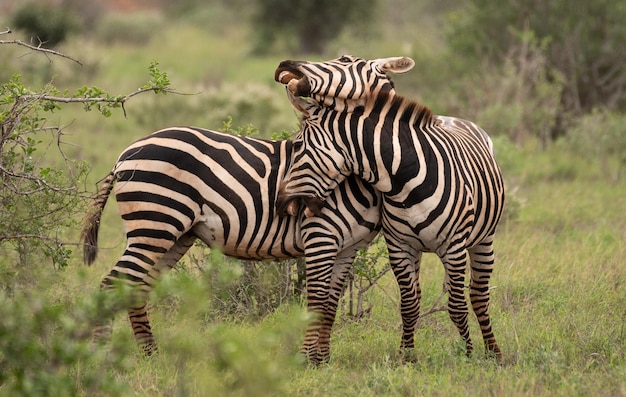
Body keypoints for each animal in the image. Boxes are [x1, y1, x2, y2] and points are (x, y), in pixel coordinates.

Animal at [80, 125, 378, 364]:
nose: (293, 202)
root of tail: (125, 154)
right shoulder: (321, 234)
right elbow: (318, 301)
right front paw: (308, 362)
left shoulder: (348, 248)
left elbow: (330, 305)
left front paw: (322, 361)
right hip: (155, 223)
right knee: (111, 284)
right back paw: (99, 357)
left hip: (172, 235)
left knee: (136, 287)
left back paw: (151, 355)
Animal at [272, 55, 502, 358]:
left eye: (298, 146)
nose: (282, 66)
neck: (403, 179)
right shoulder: (399, 246)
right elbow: (409, 304)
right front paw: (407, 357)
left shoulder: (454, 247)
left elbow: (456, 306)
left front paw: (468, 355)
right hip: (418, 248)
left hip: (483, 239)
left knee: (478, 295)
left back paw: (493, 352)